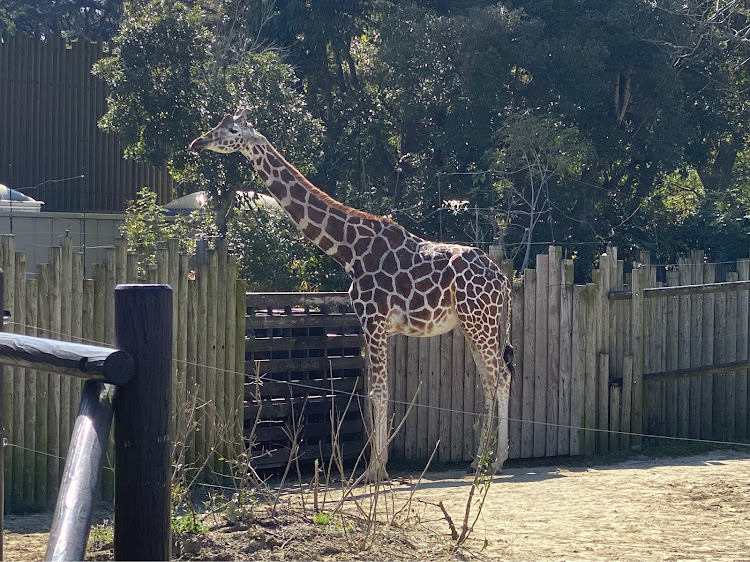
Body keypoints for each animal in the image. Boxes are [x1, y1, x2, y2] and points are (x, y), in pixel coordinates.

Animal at [191, 108, 516, 476]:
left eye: (232, 130)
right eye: (217, 124)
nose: (197, 142)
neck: (349, 251)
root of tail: (502, 279)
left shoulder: (374, 320)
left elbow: (378, 392)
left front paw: (375, 470)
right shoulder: (373, 325)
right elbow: (375, 391)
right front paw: (377, 464)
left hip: (480, 322)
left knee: (500, 377)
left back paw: (496, 460)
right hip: (473, 324)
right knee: (490, 380)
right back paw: (479, 459)